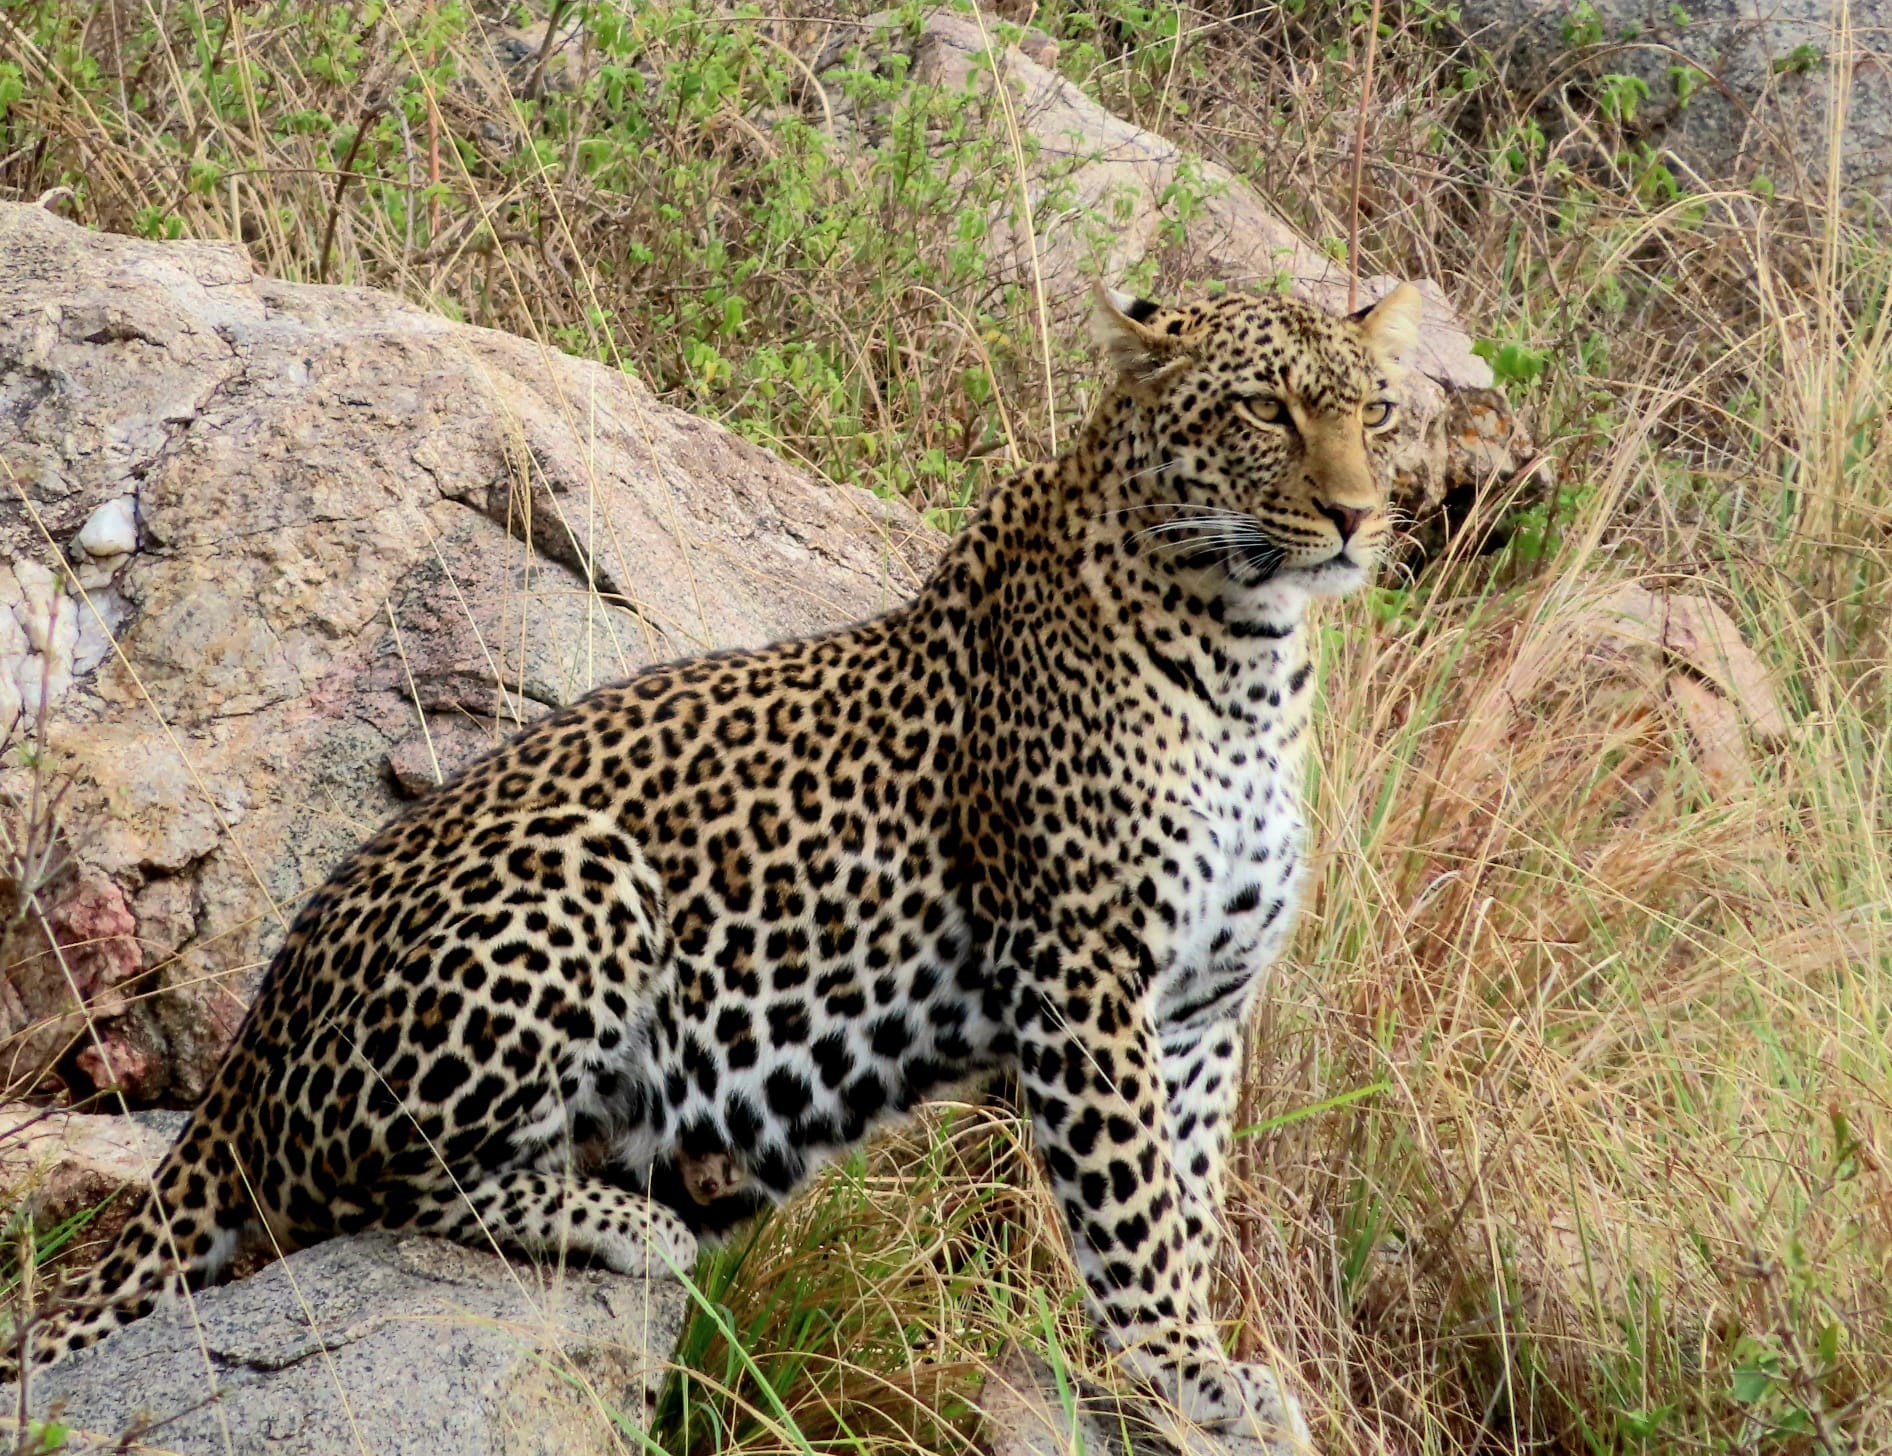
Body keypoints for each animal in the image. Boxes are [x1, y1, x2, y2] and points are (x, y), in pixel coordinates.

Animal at [9, 278, 1424, 1447]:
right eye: (1263, 410)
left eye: (1375, 413)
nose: (1357, 517)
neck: (1248, 658)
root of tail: (254, 1034)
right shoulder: (1081, 971)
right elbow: (1129, 1203)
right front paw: (1182, 1364)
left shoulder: (1200, 1005)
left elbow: (1187, 1192)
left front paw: (1184, 1365)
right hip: (573, 877)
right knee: (384, 1189)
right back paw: (628, 1225)